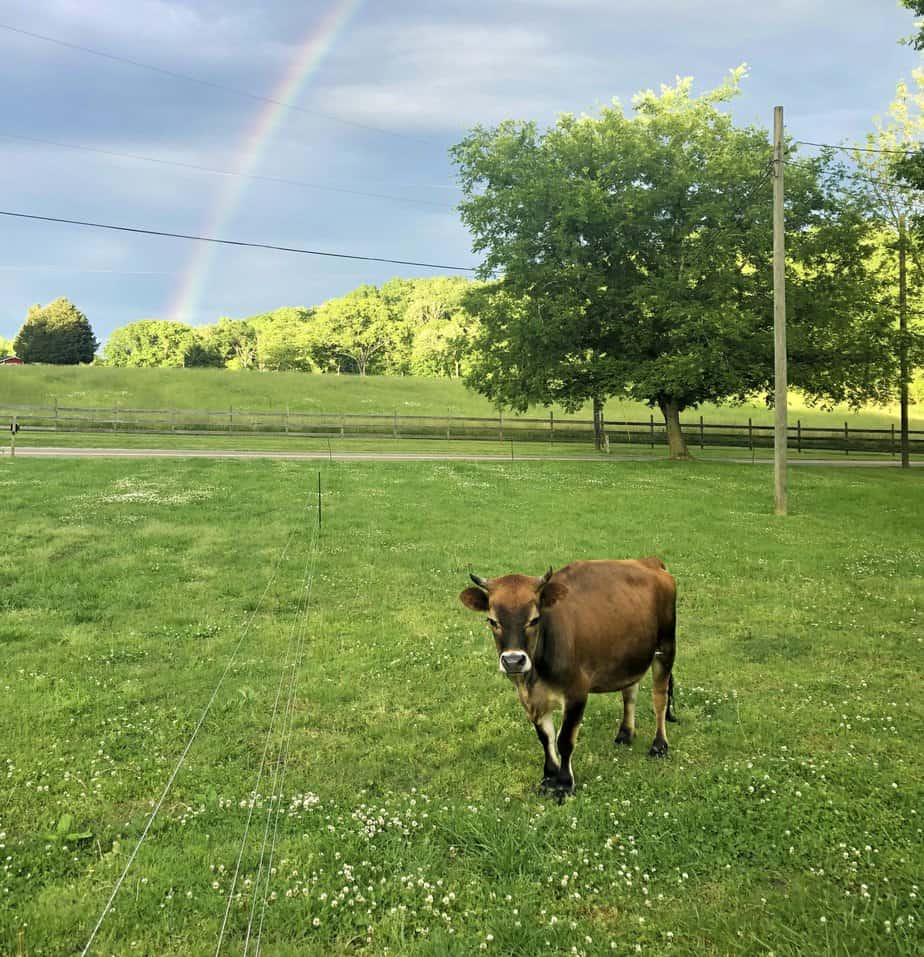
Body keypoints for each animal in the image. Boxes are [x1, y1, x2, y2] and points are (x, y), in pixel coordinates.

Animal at [459, 558, 677, 799]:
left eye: (534, 620)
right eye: (492, 621)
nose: (513, 660)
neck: (535, 677)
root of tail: (649, 561)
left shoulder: (577, 692)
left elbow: (564, 740)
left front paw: (564, 783)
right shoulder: (531, 699)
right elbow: (545, 738)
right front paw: (549, 777)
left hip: (666, 648)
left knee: (660, 699)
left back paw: (659, 745)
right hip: (631, 656)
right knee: (630, 692)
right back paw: (625, 734)